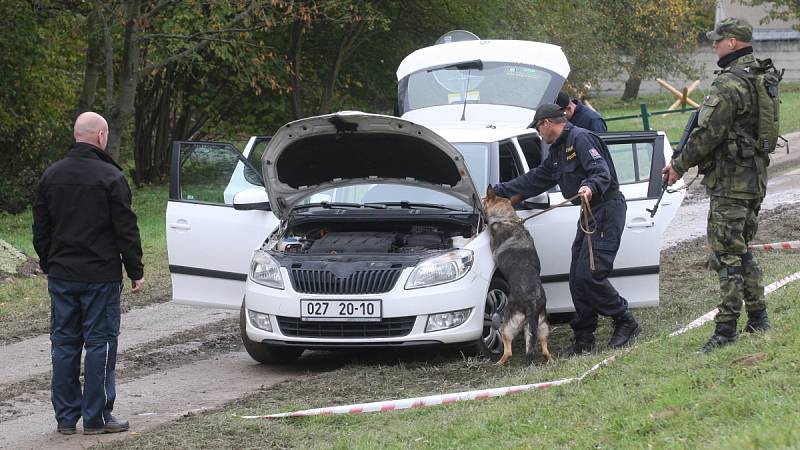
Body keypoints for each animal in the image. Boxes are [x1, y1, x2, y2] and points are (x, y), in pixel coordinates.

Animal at [482, 186, 552, 366]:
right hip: (542, 326)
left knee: (508, 351)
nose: (482, 198)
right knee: (544, 349)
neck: (507, 218)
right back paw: (551, 359)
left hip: (506, 326)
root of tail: (532, 305)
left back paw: (499, 363)